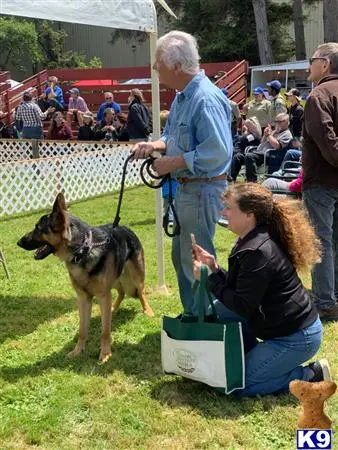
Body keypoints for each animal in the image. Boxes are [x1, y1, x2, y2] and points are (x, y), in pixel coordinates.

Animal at [17, 192, 152, 362]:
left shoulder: (103, 295)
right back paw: (114, 308)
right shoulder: (83, 298)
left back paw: (147, 310)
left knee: (141, 292)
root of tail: (125, 227)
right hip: (116, 280)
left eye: (38, 228)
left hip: (137, 277)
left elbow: (105, 331)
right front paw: (78, 351)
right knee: (120, 292)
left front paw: (105, 353)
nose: (18, 242)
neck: (82, 250)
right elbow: (82, 330)